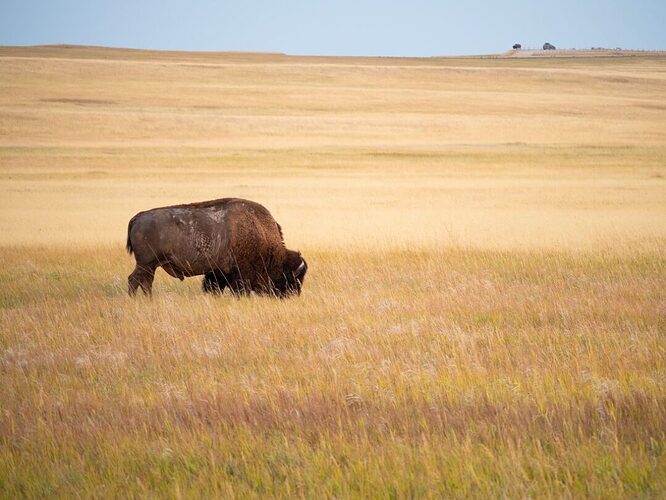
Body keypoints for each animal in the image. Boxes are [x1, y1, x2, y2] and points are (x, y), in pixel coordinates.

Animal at [126, 196, 308, 296]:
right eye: (292, 278)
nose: (293, 295)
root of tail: (139, 217)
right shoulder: (240, 275)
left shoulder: (218, 273)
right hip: (146, 264)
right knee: (134, 280)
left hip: (151, 266)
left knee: (146, 283)